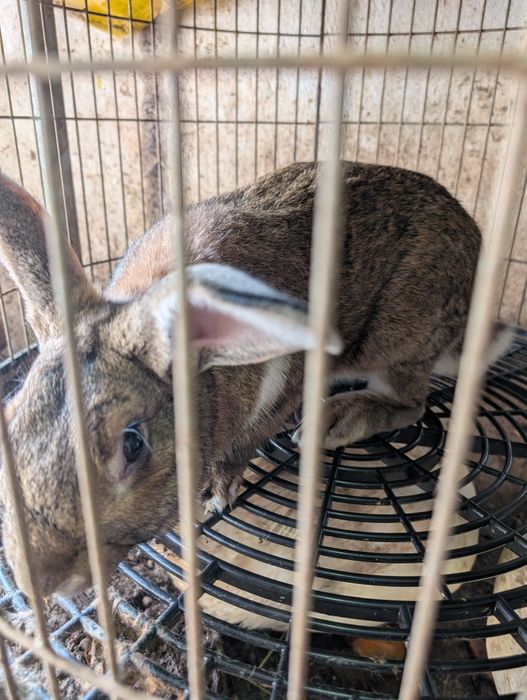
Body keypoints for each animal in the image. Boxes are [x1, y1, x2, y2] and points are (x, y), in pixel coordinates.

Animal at [0, 161, 513, 598]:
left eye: (132, 445)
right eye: (11, 418)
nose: (38, 581)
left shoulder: (279, 395)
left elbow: (242, 449)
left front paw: (216, 495)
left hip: (396, 336)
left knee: (411, 402)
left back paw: (337, 419)